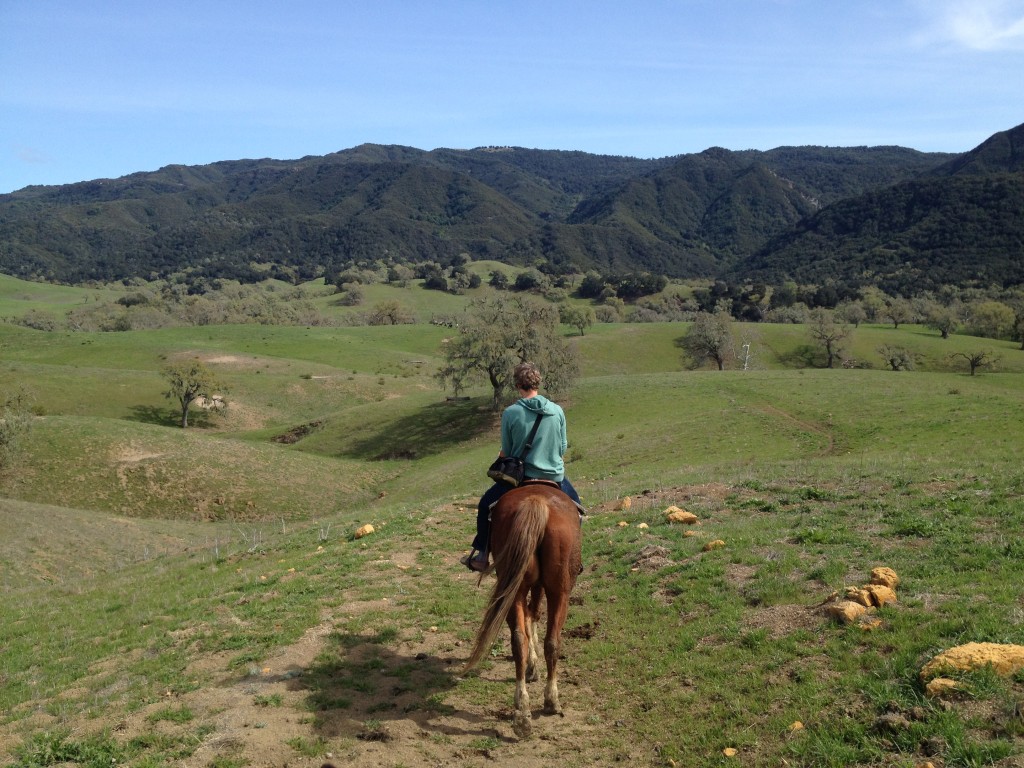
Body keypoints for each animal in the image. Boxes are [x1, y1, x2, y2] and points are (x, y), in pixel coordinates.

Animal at [462, 481, 581, 741]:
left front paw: (532, 664)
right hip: (558, 590)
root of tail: (535, 502)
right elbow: (533, 615)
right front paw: (534, 666)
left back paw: (522, 714)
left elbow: (528, 618)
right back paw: (550, 700)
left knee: (521, 640)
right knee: (550, 639)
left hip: (515, 586)